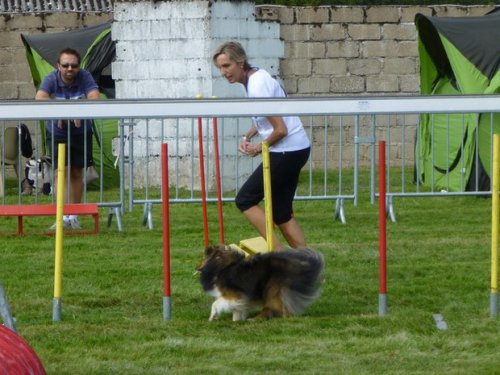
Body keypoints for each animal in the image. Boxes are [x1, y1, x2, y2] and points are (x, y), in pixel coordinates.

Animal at [195, 245, 324, 322]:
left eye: (202, 257)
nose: (196, 267)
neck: (222, 265)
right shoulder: (241, 297)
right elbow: (238, 310)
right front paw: (236, 321)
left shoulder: (232, 295)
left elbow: (215, 303)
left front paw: (212, 317)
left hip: (272, 290)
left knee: (276, 308)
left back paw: (258, 319)